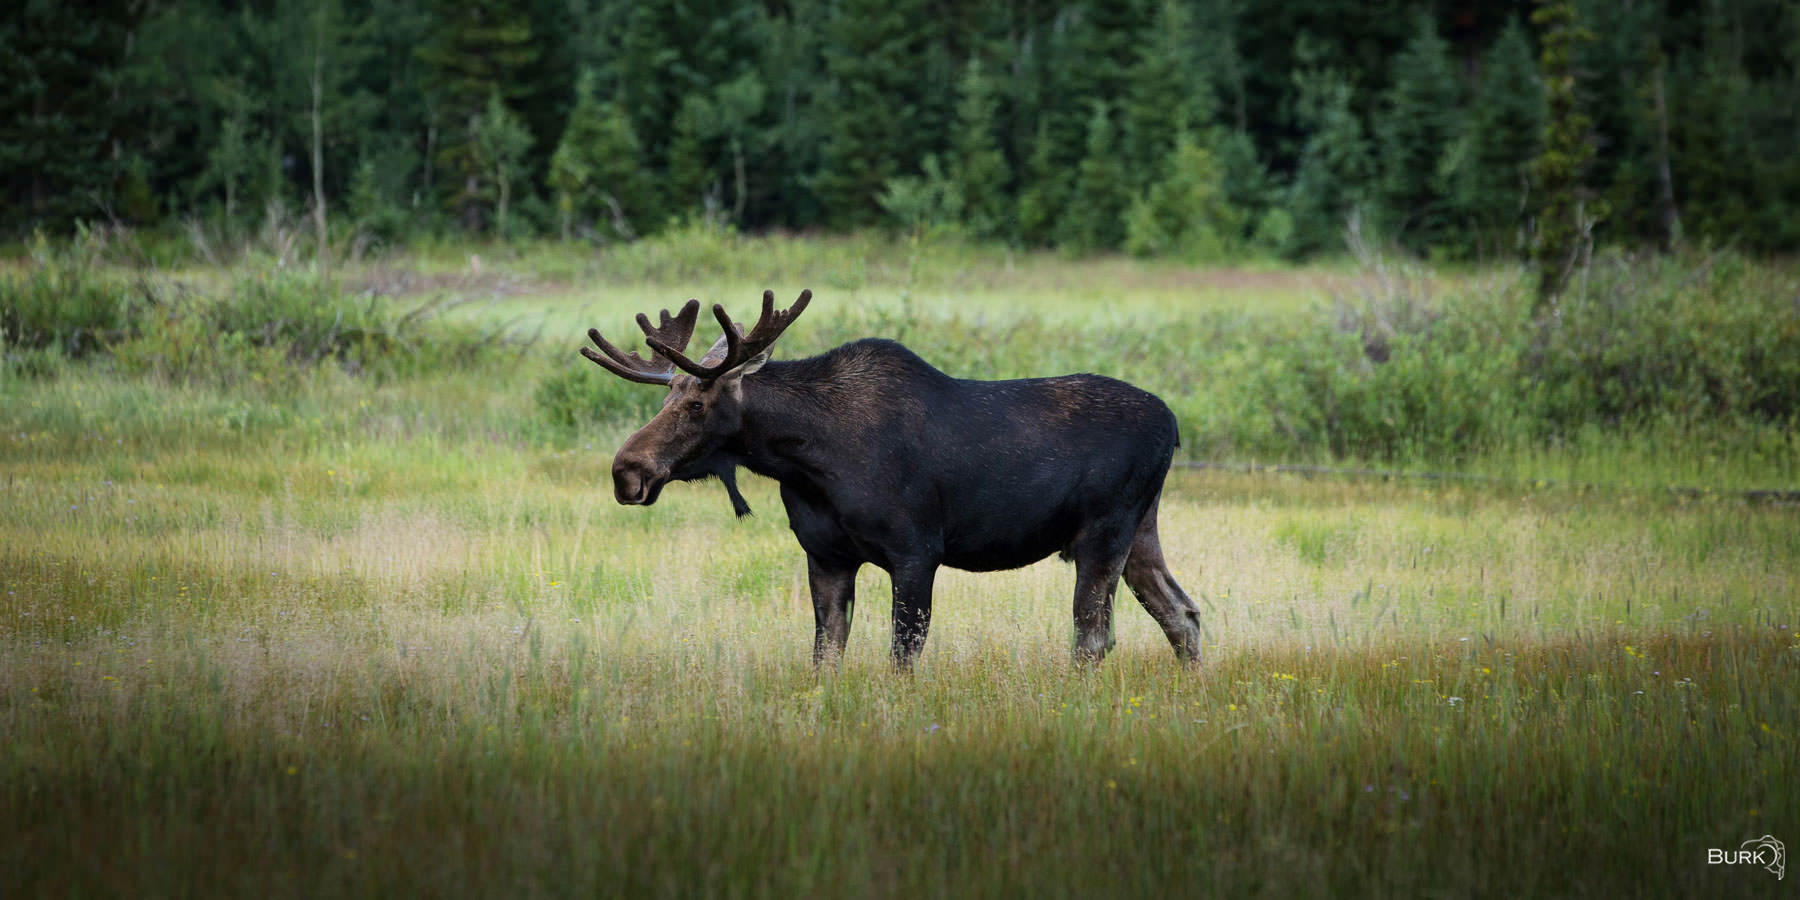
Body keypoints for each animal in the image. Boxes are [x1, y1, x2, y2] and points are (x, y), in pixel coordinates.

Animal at [580, 290, 1206, 670]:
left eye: (697, 403)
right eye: (666, 397)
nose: (626, 471)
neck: (804, 462)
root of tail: (1174, 425)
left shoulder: (917, 551)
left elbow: (902, 656)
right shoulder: (826, 556)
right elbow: (825, 657)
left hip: (1104, 531)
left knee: (1094, 636)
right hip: (1140, 531)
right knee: (1182, 612)